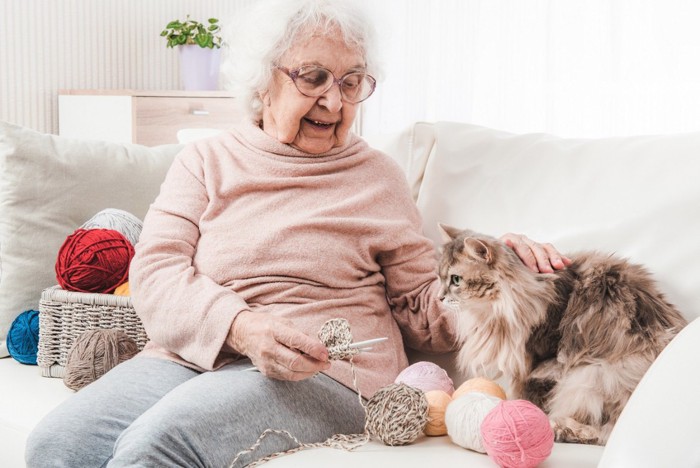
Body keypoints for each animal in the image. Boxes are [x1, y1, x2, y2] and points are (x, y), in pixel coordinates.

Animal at [440, 225, 688, 444]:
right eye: (440, 277)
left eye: (456, 280)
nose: (439, 297)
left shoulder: (540, 359)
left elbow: (526, 390)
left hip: (593, 375)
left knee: (605, 430)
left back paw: (560, 428)